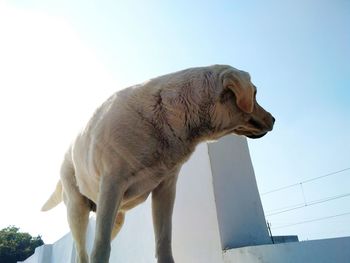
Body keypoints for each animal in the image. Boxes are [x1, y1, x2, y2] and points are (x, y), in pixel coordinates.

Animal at [41, 64, 276, 263]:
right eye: (255, 93)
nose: (274, 119)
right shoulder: (111, 185)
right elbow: (101, 248)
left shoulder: (165, 189)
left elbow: (164, 241)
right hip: (77, 208)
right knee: (84, 251)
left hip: (117, 217)